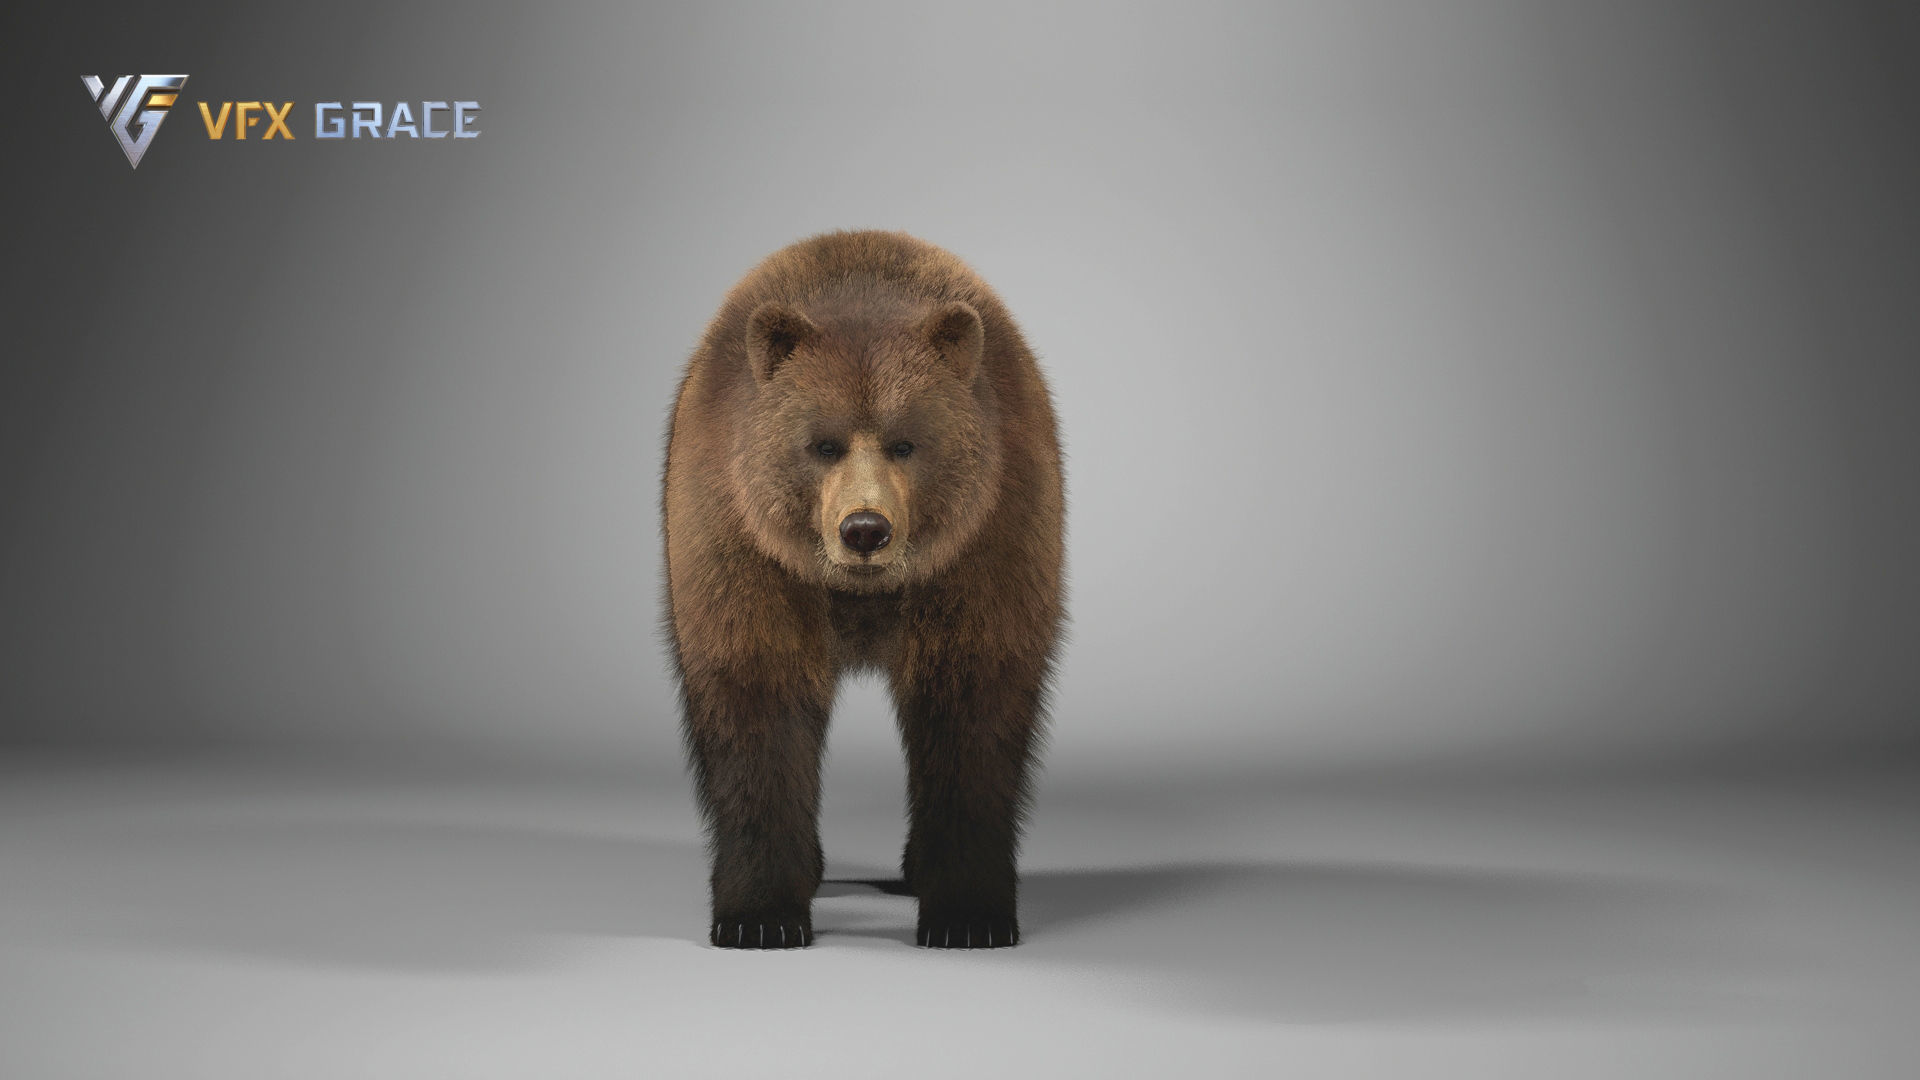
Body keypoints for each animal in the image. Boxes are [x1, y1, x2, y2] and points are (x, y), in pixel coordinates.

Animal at [661, 229, 1065, 949]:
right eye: (823, 444)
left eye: (906, 443)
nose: (865, 529)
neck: (860, 594)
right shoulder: (744, 545)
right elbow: (756, 697)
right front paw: (759, 914)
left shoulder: (986, 542)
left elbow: (971, 705)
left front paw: (968, 915)